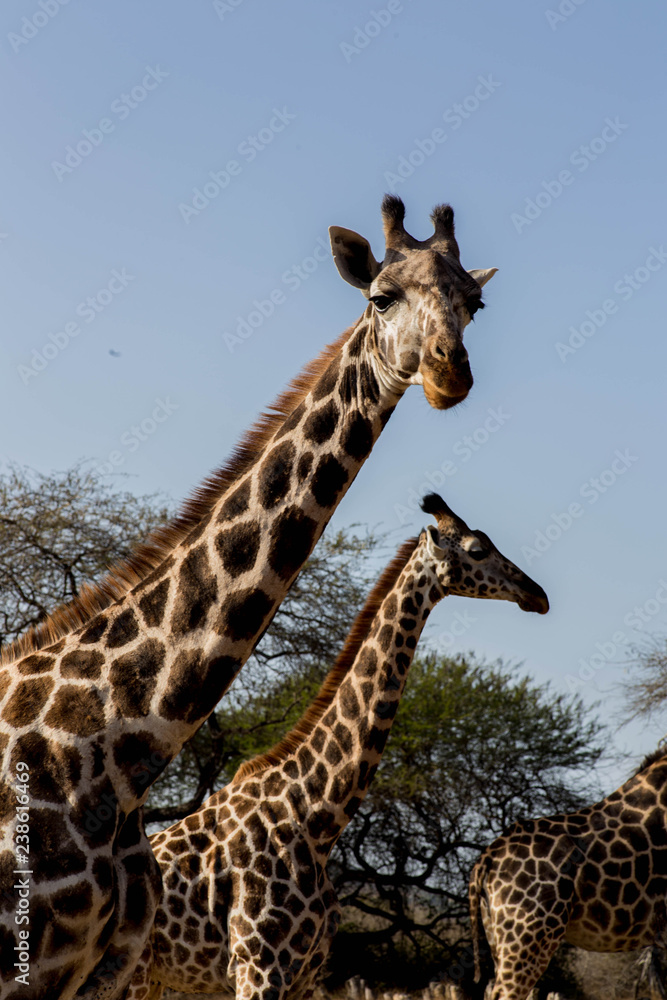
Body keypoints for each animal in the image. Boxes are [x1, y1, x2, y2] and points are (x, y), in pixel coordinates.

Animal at [123, 492, 549, 1000]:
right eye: (477, 549)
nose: (537, 594)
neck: (318, 819)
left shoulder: (308, 974)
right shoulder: (256, 966)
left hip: (154, 976)